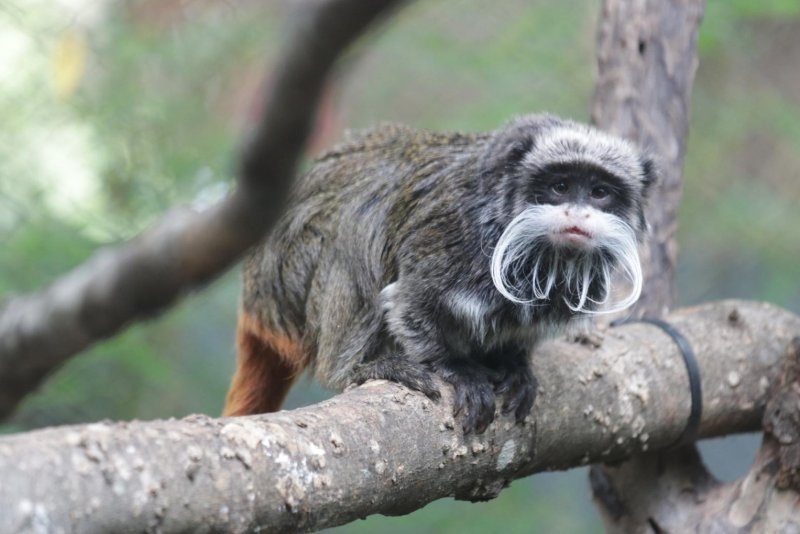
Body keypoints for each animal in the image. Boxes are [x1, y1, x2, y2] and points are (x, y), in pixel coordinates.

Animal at [223, 114, 656, 436]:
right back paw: (355, 367)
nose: (578, 213)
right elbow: (408, 304)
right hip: (287, 279)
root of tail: (253, 297)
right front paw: (457, 370)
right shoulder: (450, 239)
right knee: (354, 229)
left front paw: (515, 365)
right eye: (560, 186)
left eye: (600, 192)